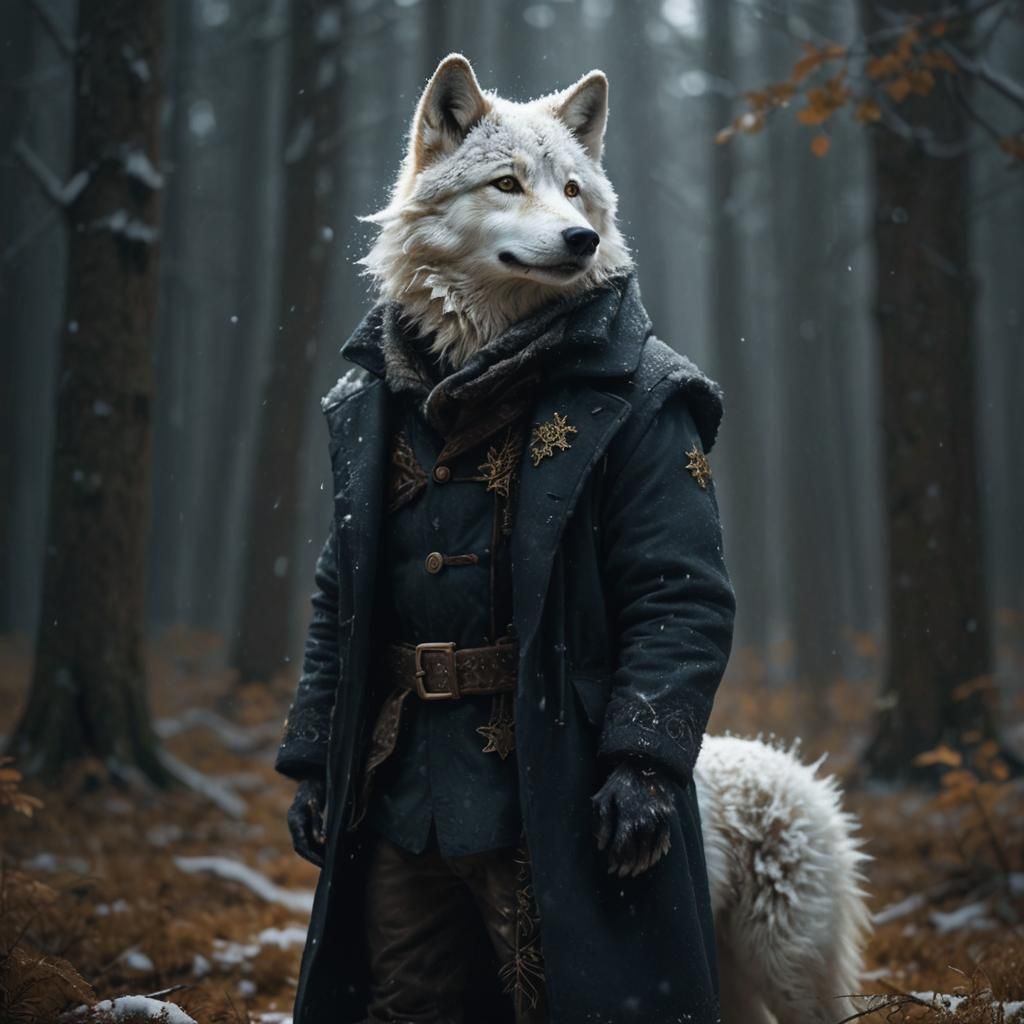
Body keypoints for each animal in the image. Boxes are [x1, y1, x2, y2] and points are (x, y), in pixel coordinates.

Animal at [357, 53, 871, 1023]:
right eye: (507, 183)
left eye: (572, 189)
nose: (581, 241)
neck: (479, 376)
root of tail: (801, 773)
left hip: (787, 978)